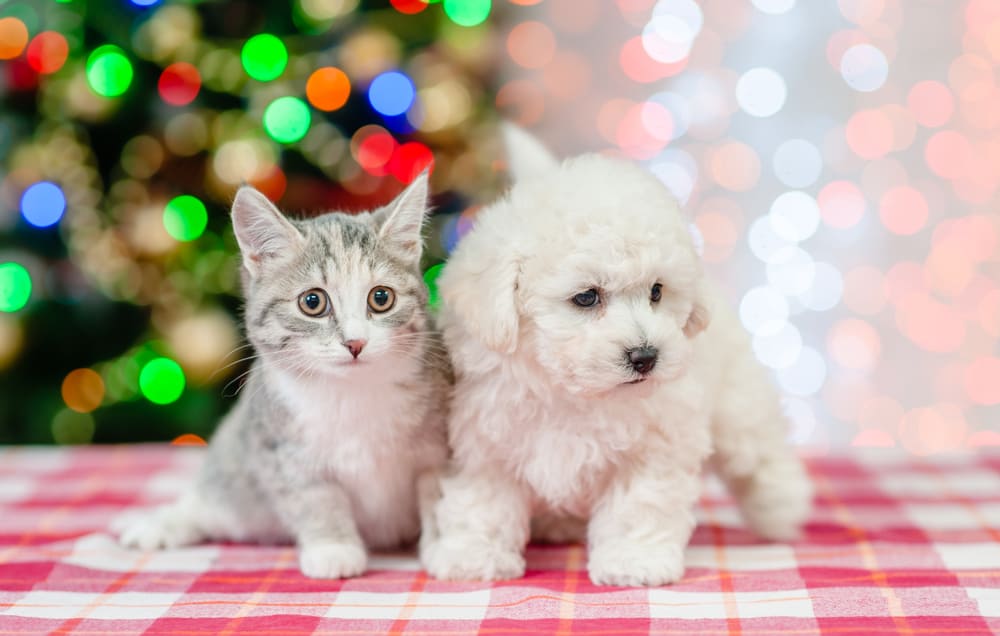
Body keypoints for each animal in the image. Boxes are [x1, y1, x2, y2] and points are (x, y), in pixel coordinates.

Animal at [115, 171, 452, 580]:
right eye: (313, 302)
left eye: (381, 297)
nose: (355, 343)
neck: (350, 393)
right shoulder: (278, 449)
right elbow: (314, 498)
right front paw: (333, 548)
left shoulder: (438, 445)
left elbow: (436, 491)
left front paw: (448, 547)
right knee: (211, 500)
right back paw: (159, 523)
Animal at [418, 126, 816, 588]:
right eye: (587, 297)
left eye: (657, 291)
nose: (645, 356)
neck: (572, 392)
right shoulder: (483, 441)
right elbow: (483, 500)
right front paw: (473, 554)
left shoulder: (653, 446)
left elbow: (638, 504)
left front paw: (634, 560)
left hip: (737, 397)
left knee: (755, 446)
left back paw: (780, 505)